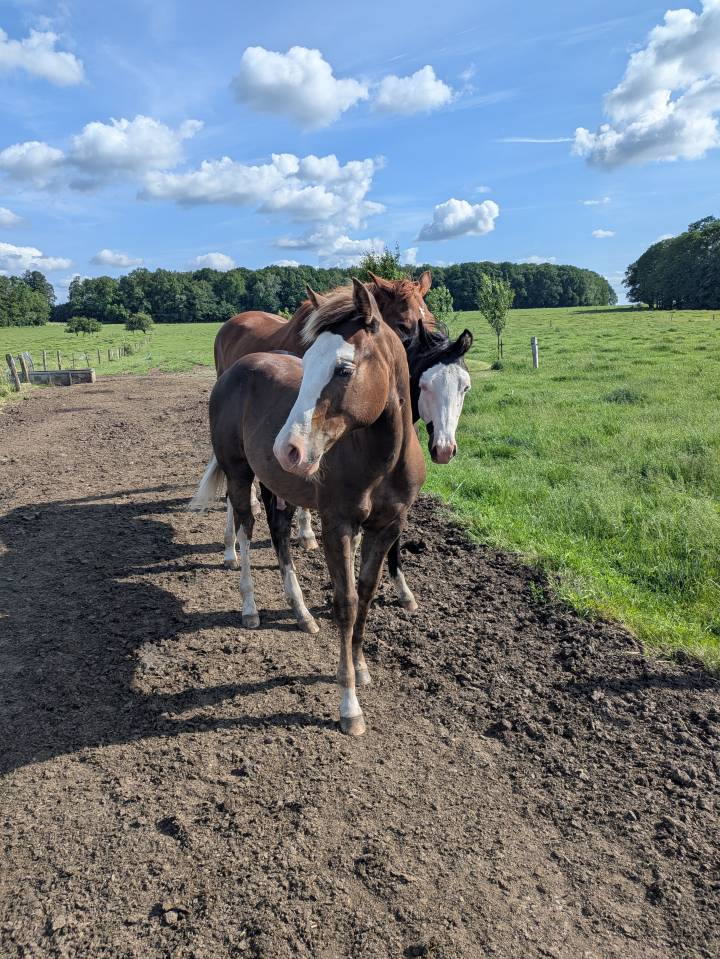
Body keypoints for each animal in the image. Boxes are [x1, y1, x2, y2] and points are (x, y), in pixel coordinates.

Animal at [191, 279, 425, 736]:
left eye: (344, 369)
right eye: (308, 359)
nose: (288, 449)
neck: (380, 460)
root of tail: (234, 369)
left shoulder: (387, 527)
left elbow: (366, 593)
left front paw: (361, 666)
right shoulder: (338, 525)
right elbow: (345, 601)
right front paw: (349, 705)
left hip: (275, 484)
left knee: (279, 535)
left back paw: (300, 612)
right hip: (240, 473)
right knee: (245, 527)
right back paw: (249, 607)